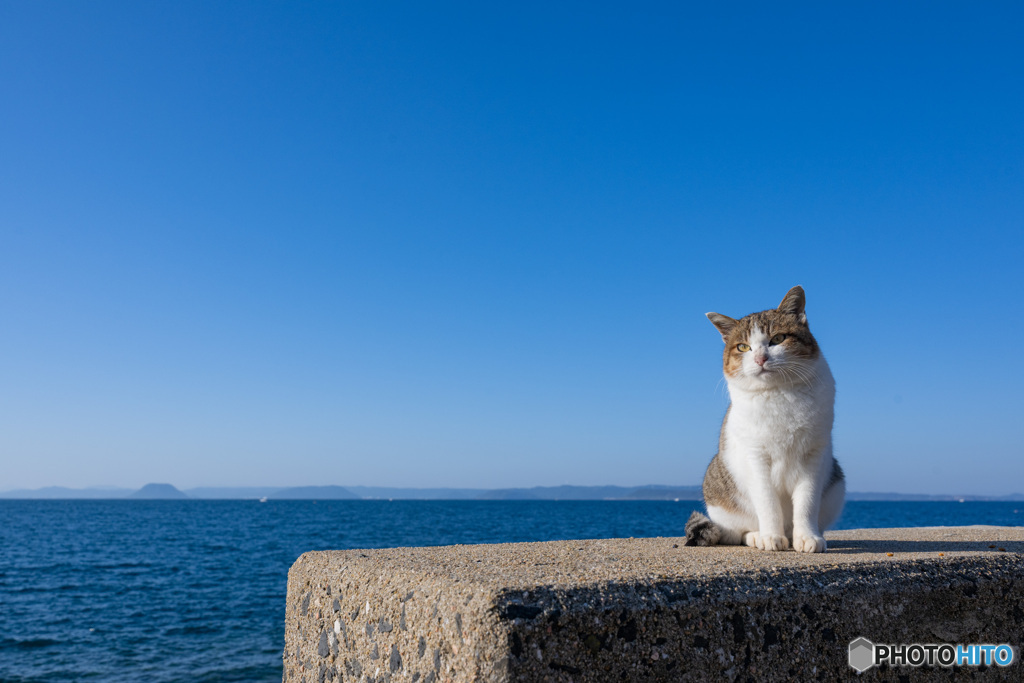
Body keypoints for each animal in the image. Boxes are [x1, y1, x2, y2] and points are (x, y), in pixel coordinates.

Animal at [684, 286, 843, 552]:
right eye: (743, 347)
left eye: (778, 339)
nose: (760, 358)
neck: (779, 393)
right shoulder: (756, 456)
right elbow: (768, 502)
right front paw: (770, 536)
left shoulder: (814, 454)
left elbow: (807, 501)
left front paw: (808, 537)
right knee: (737, 533)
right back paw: (758, 536)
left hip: (836, 481)